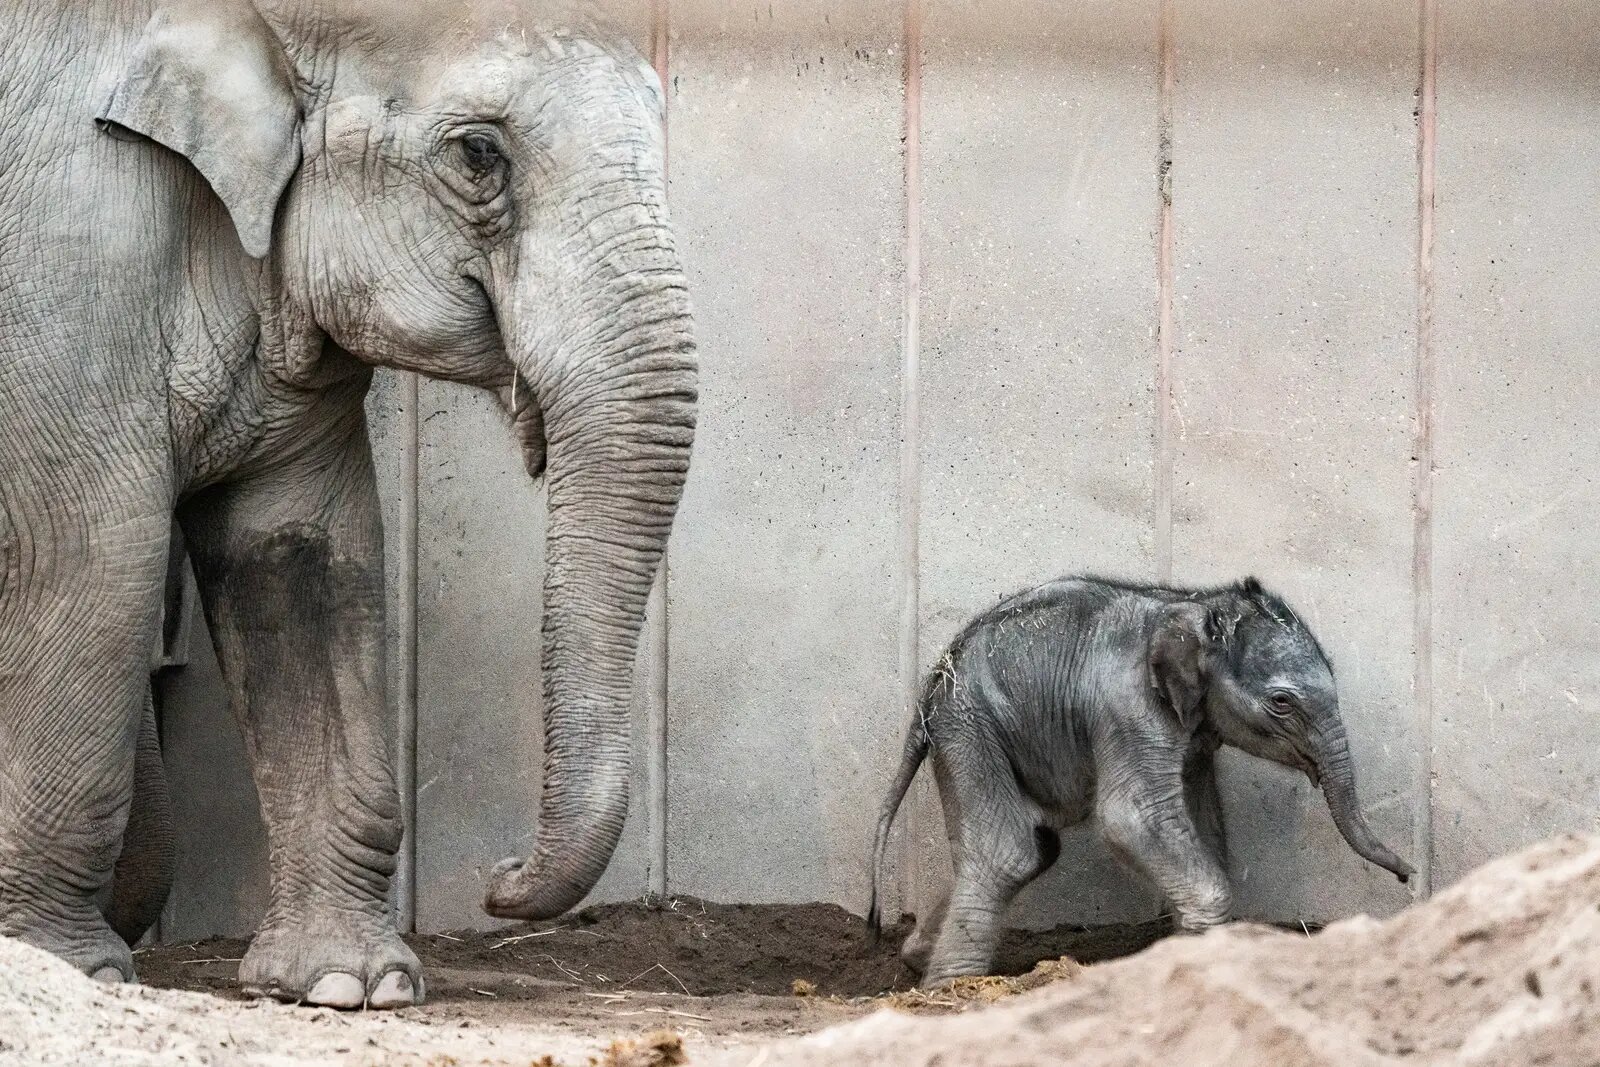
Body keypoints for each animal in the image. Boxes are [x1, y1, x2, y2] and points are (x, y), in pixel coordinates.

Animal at [1, 0, 700, 1011]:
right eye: (480, 154)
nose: (497, 875)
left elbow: (309, 563)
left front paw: (348, 985)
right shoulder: (71, 253)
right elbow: (89, 555)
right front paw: (61, 969)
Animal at [876, 579, 1414, 991]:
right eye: (1282, 702)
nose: (1408, 874)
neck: (1193, 605)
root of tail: (928, 689)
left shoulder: (1194, 731)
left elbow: (1202, 823)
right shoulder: (1130, 708)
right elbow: (1131, 819)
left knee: (1032, 845)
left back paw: (916, 957)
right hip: (970, 728)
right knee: (1009, 852)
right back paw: (949, 988)